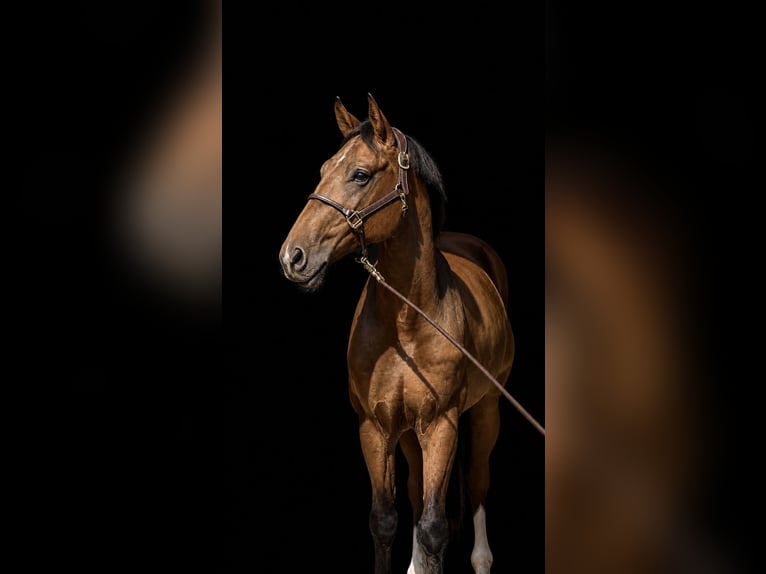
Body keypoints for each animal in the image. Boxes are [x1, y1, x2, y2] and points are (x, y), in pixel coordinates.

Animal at [279, 94, 515, 574]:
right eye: (323, 169)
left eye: (360, 174)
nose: (293, 256)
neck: (407, 321)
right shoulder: (375, 427)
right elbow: (386, 520)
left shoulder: (442, 424)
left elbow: (434, 527)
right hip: (408, 435)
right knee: (416, 494)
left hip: (486, 413)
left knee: (476, 488)